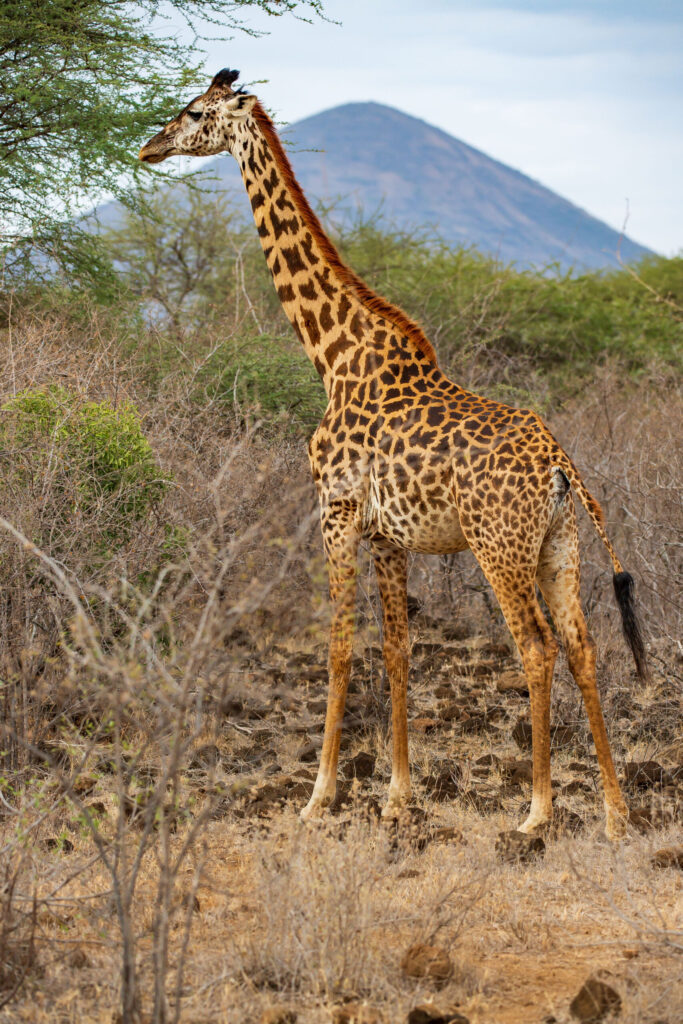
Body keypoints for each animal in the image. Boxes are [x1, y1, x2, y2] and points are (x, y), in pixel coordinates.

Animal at [140, 69, 649, 840]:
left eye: (195, 112)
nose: (149, 146)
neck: (332, 356)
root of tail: (562, 468)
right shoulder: (388, 535)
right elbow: (398, 648)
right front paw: (397, 796)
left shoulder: (336, 510)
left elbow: (340, 647)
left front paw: (319, 795)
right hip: (558, 544)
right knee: (582, 645)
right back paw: (617, 814)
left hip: (498, 547)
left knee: (535, 647)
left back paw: (535, 812)